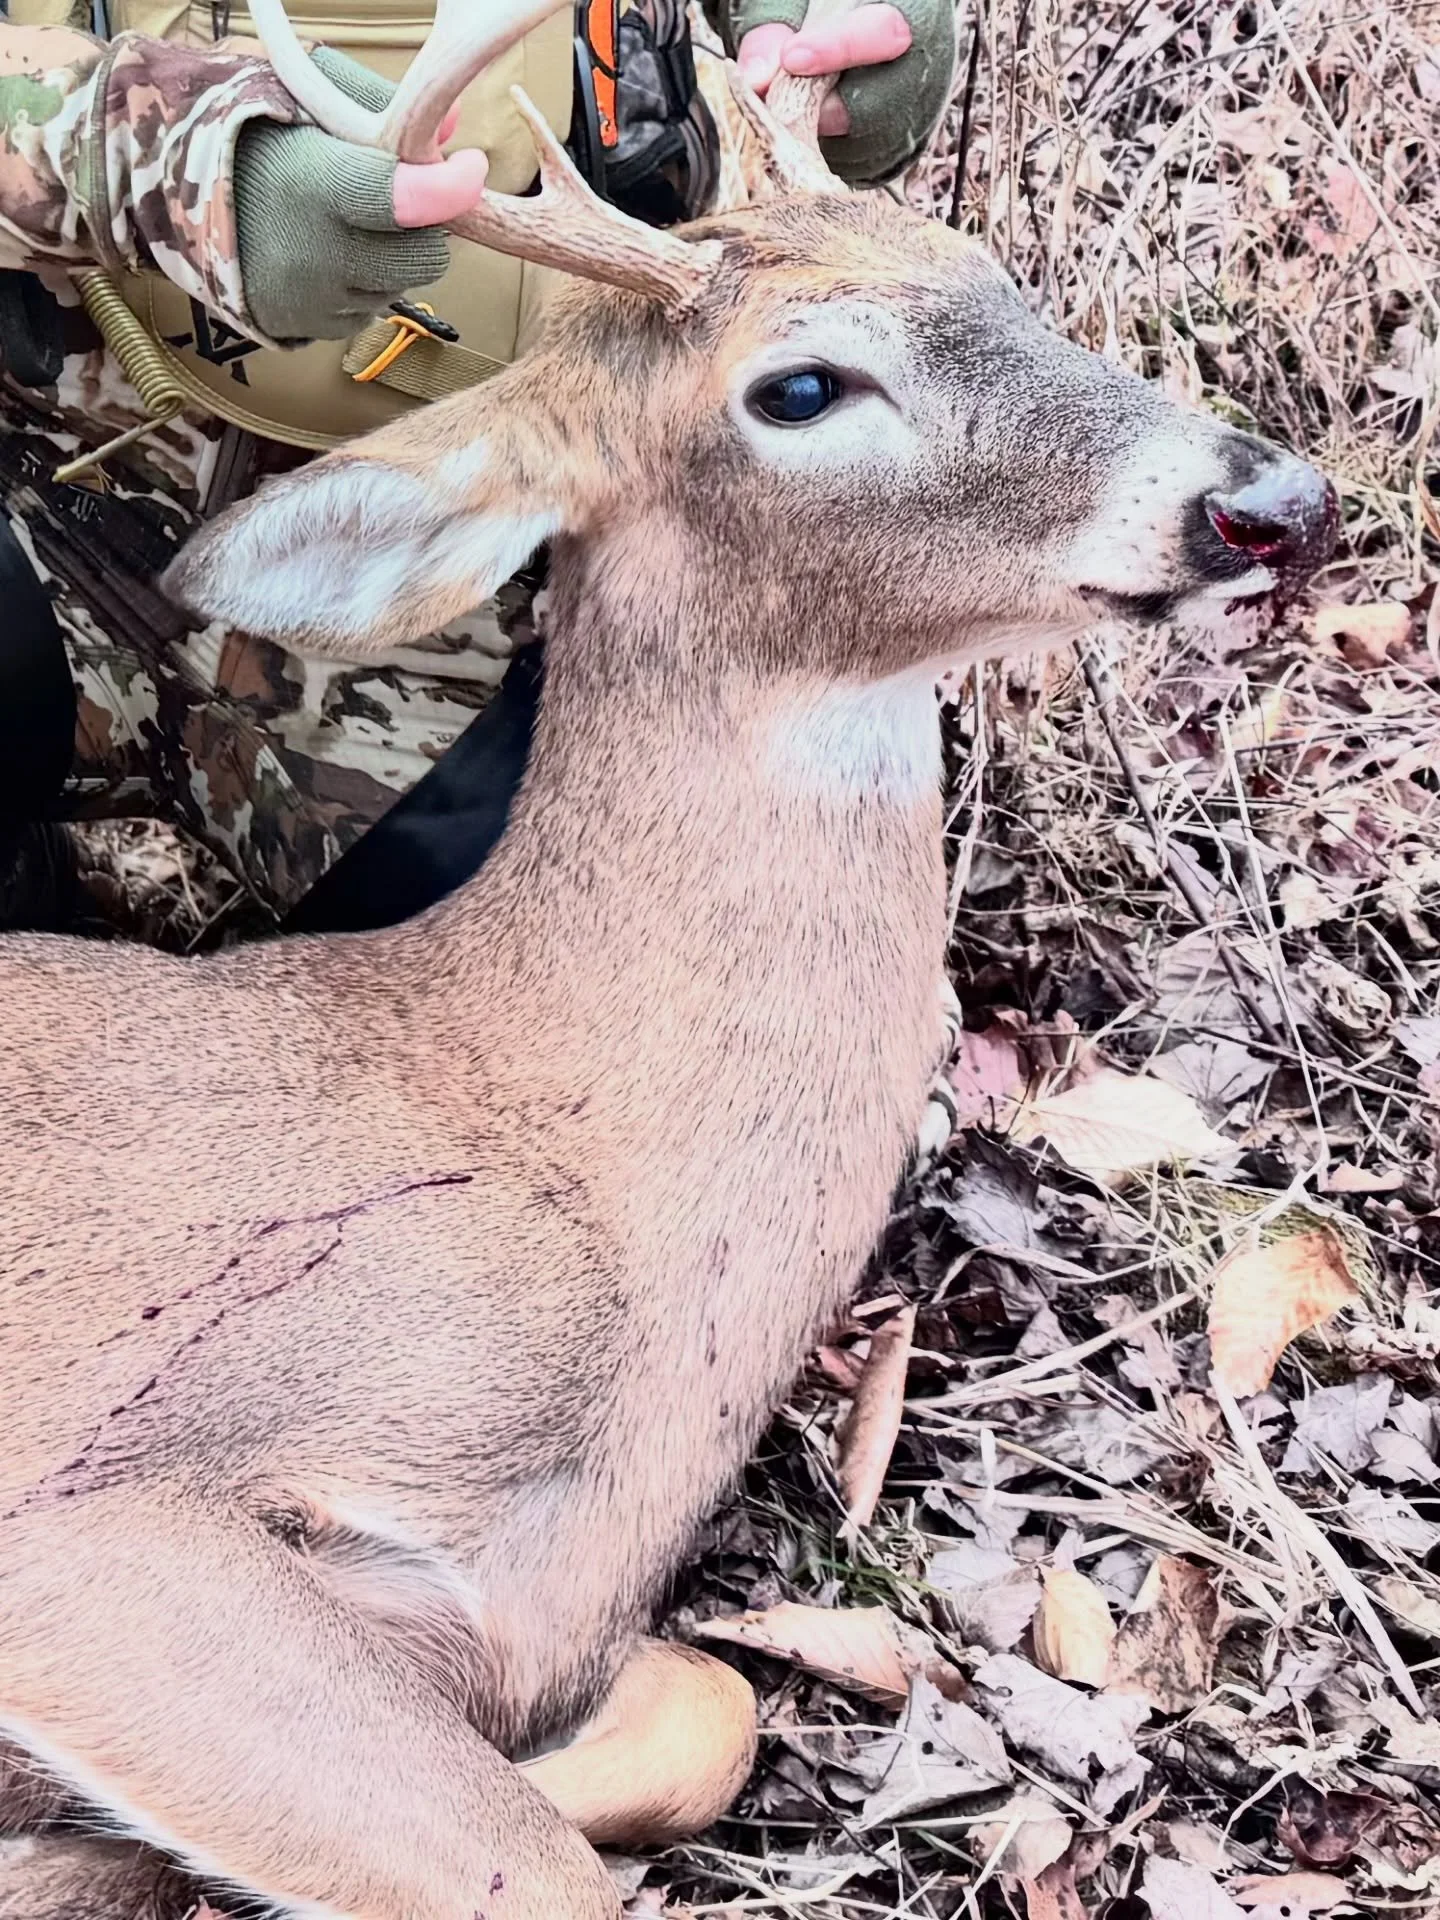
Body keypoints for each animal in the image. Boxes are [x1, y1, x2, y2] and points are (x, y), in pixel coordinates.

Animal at [0, 0, 1337, 1911]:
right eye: (800, 386)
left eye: (987, 273)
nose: (1272, 499)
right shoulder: (91, 1502)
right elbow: (541, 1868)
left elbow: (706, 1714)